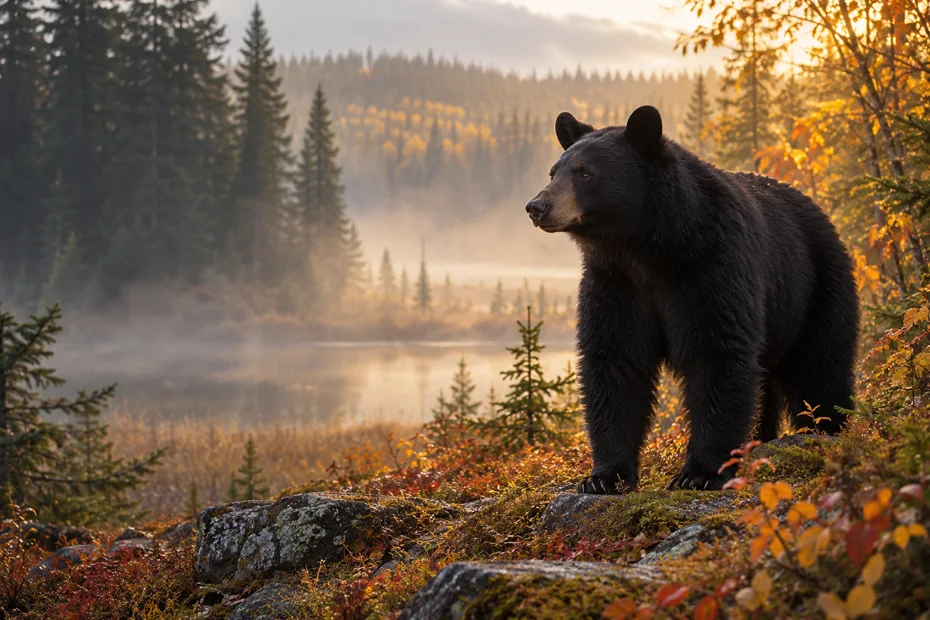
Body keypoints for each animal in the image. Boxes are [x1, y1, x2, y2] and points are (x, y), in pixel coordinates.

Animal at [525, 105, 859, 494]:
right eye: (555, 171)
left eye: (585, 173)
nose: (537, 206)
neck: (649, 248)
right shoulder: (615, 283)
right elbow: (615, 361)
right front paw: (605, 477)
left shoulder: (713, 266)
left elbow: (716, 352)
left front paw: (699, 472)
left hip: (816, 288)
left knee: (820, 368)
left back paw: (829, 429)